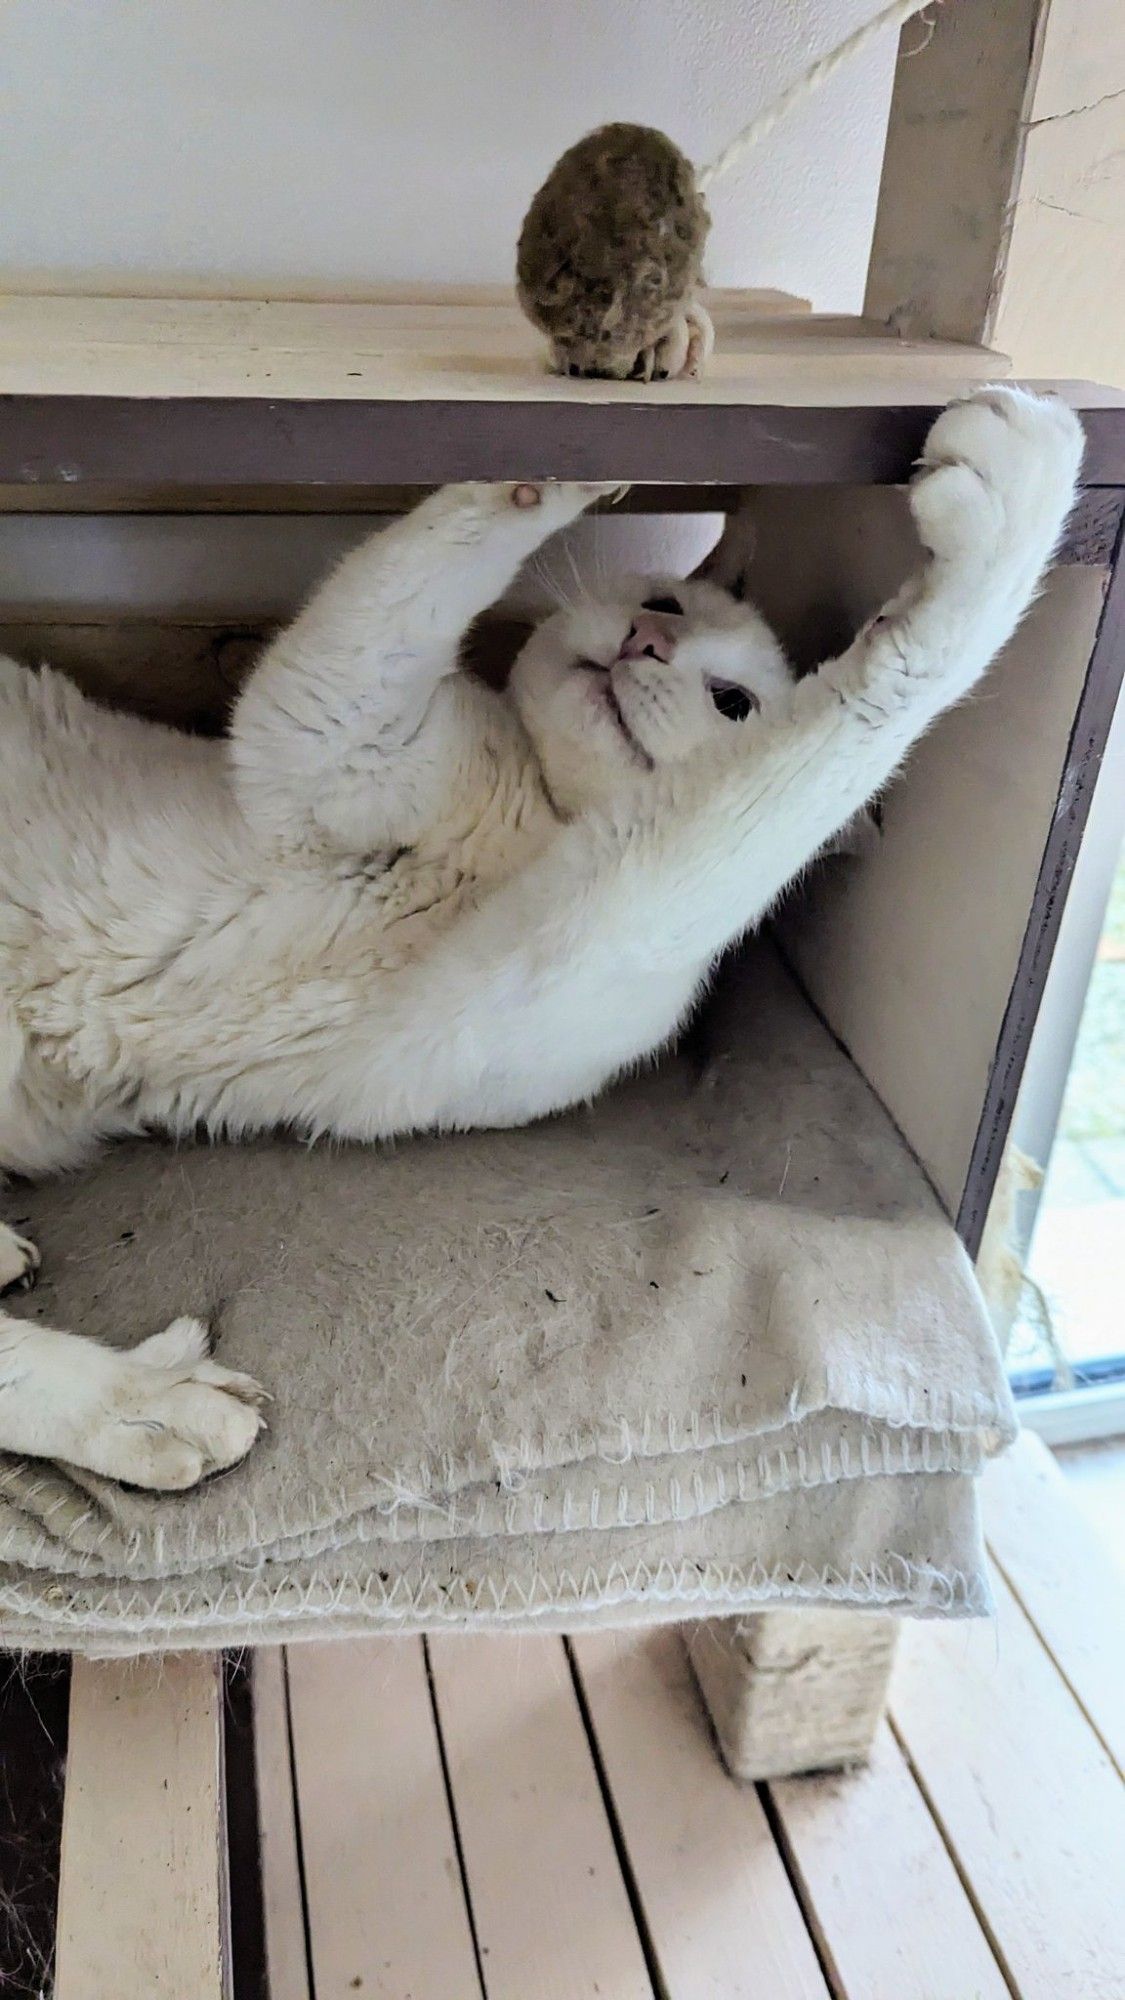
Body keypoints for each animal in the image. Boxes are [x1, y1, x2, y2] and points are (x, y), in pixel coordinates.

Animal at [2, 386, 1088, 1488]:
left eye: (731, 699)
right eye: (667, 603)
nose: (646, 640)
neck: (538, 812)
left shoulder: (563, 926)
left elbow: (849, 726)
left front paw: (1018, 502)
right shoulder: (336, 740)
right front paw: (584, 447)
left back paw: (137, 1396)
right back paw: (128, 1383)